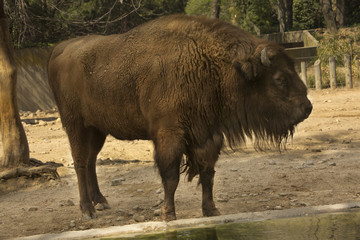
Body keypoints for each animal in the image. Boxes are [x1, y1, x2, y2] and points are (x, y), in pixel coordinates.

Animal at [47, 14, 312, 221]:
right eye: (280, 78)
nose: (307, 107)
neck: (212, 63)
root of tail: (59, 49)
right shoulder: (169, 135)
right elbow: (171, 176)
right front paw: (168, 214)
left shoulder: (208, 135)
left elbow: (207, 174)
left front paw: (211, 211)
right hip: (76, 125)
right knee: (80, 163)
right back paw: (87, 210)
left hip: (97, 129)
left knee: (91, 161)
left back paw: (101, 201)